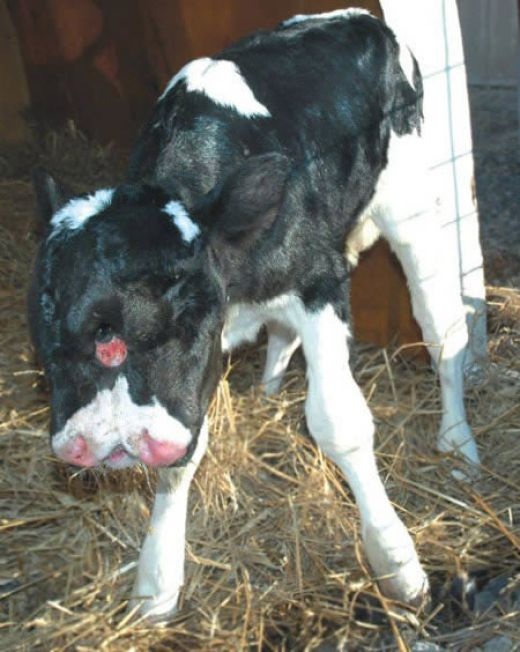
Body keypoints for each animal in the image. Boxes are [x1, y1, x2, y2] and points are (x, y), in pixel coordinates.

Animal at [28, 11, 480, 620]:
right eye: (45, 320)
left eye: (187, 317)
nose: (110, 439)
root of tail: (361, 18)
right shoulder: (193, 379)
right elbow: (186, 452)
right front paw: (157, 580)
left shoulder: (318, 281)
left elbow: (339, 423)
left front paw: (397, 563)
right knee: (283, 335)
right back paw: (267, 394)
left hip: (410, 206)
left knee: (441, 326)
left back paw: (458, 444)